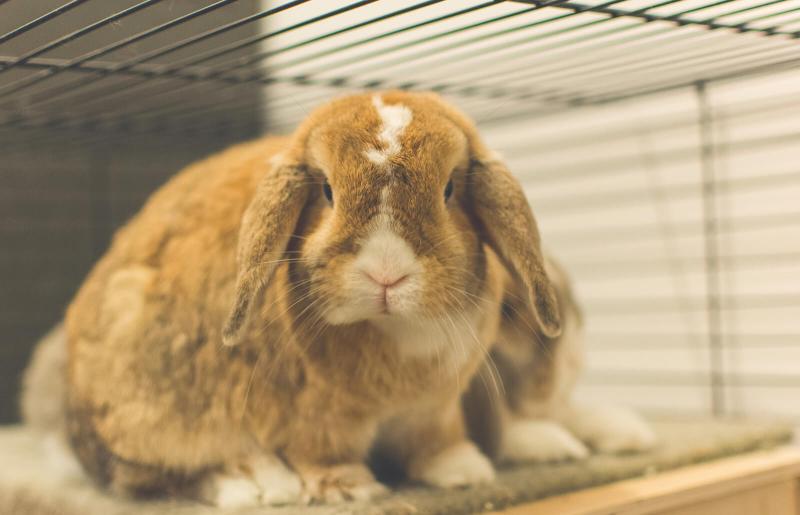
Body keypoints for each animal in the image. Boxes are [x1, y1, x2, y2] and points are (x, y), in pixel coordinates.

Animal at [59, 91, 562, 507]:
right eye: (326, 191)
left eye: (449, 190)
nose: (386, 274)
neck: (396, 333)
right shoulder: (313, 417)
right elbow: (320, 452)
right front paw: (348, 488)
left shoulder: (433, 410)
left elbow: (435, 442)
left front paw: (463, 470)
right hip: (151, 413)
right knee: (160, 476)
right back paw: (258, 485)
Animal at [464, 255, 656, 465]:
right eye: (509, 310)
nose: (574, 358)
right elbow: (508, 432)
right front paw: (565, 446)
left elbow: (573, 414)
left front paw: (633, 432)